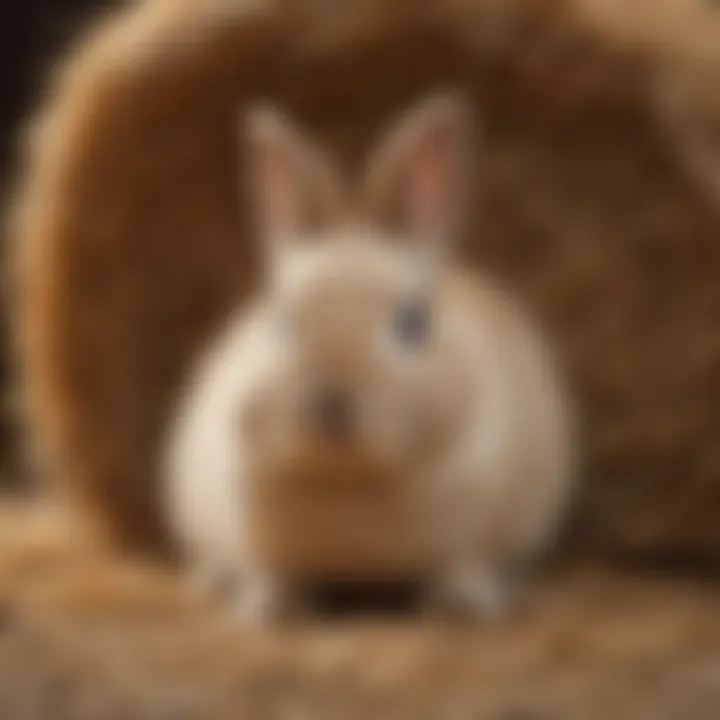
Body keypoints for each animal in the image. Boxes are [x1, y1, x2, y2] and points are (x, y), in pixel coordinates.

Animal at [163, 94, 572, 624]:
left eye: (414, 322)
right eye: (281, 317)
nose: (331, 404)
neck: (349, 480)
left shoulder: (479, 532)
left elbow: (464, 564)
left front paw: (467, 606)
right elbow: (268, 571)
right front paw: (267, 609)